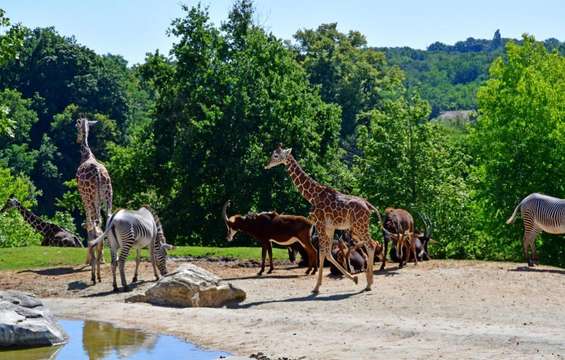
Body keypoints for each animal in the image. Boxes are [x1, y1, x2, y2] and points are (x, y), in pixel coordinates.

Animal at [266, 145, 384, 294]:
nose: (267, 165)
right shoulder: (330, 227)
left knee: (371, 245)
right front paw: (354, 278)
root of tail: (369, 206)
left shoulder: (320, 224)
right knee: (371, 244)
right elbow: (327, 253)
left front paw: (316, 287)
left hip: (359, 226)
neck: (312, 195)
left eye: (276, 155)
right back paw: (369, 282)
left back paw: (369, 284)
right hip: (358, 227)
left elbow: (322, 253)